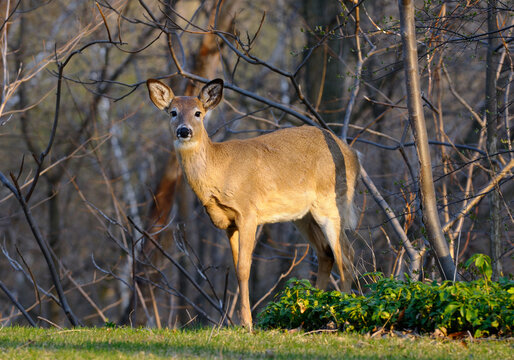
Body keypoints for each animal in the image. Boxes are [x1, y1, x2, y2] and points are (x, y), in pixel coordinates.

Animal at [146, 78, 358, 330]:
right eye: (173, 112)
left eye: (198, 113)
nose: (184, 130)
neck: (219, 170)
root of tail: (352, 154)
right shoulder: (229, 223)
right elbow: (237, 267)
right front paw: (242, 321)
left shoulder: (248, 212)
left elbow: (244, 268)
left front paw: (247, 323)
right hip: (302, 216)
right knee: (327, 254)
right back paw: (314, 314)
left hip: (331, 201)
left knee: (346, 256)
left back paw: (343, 317)